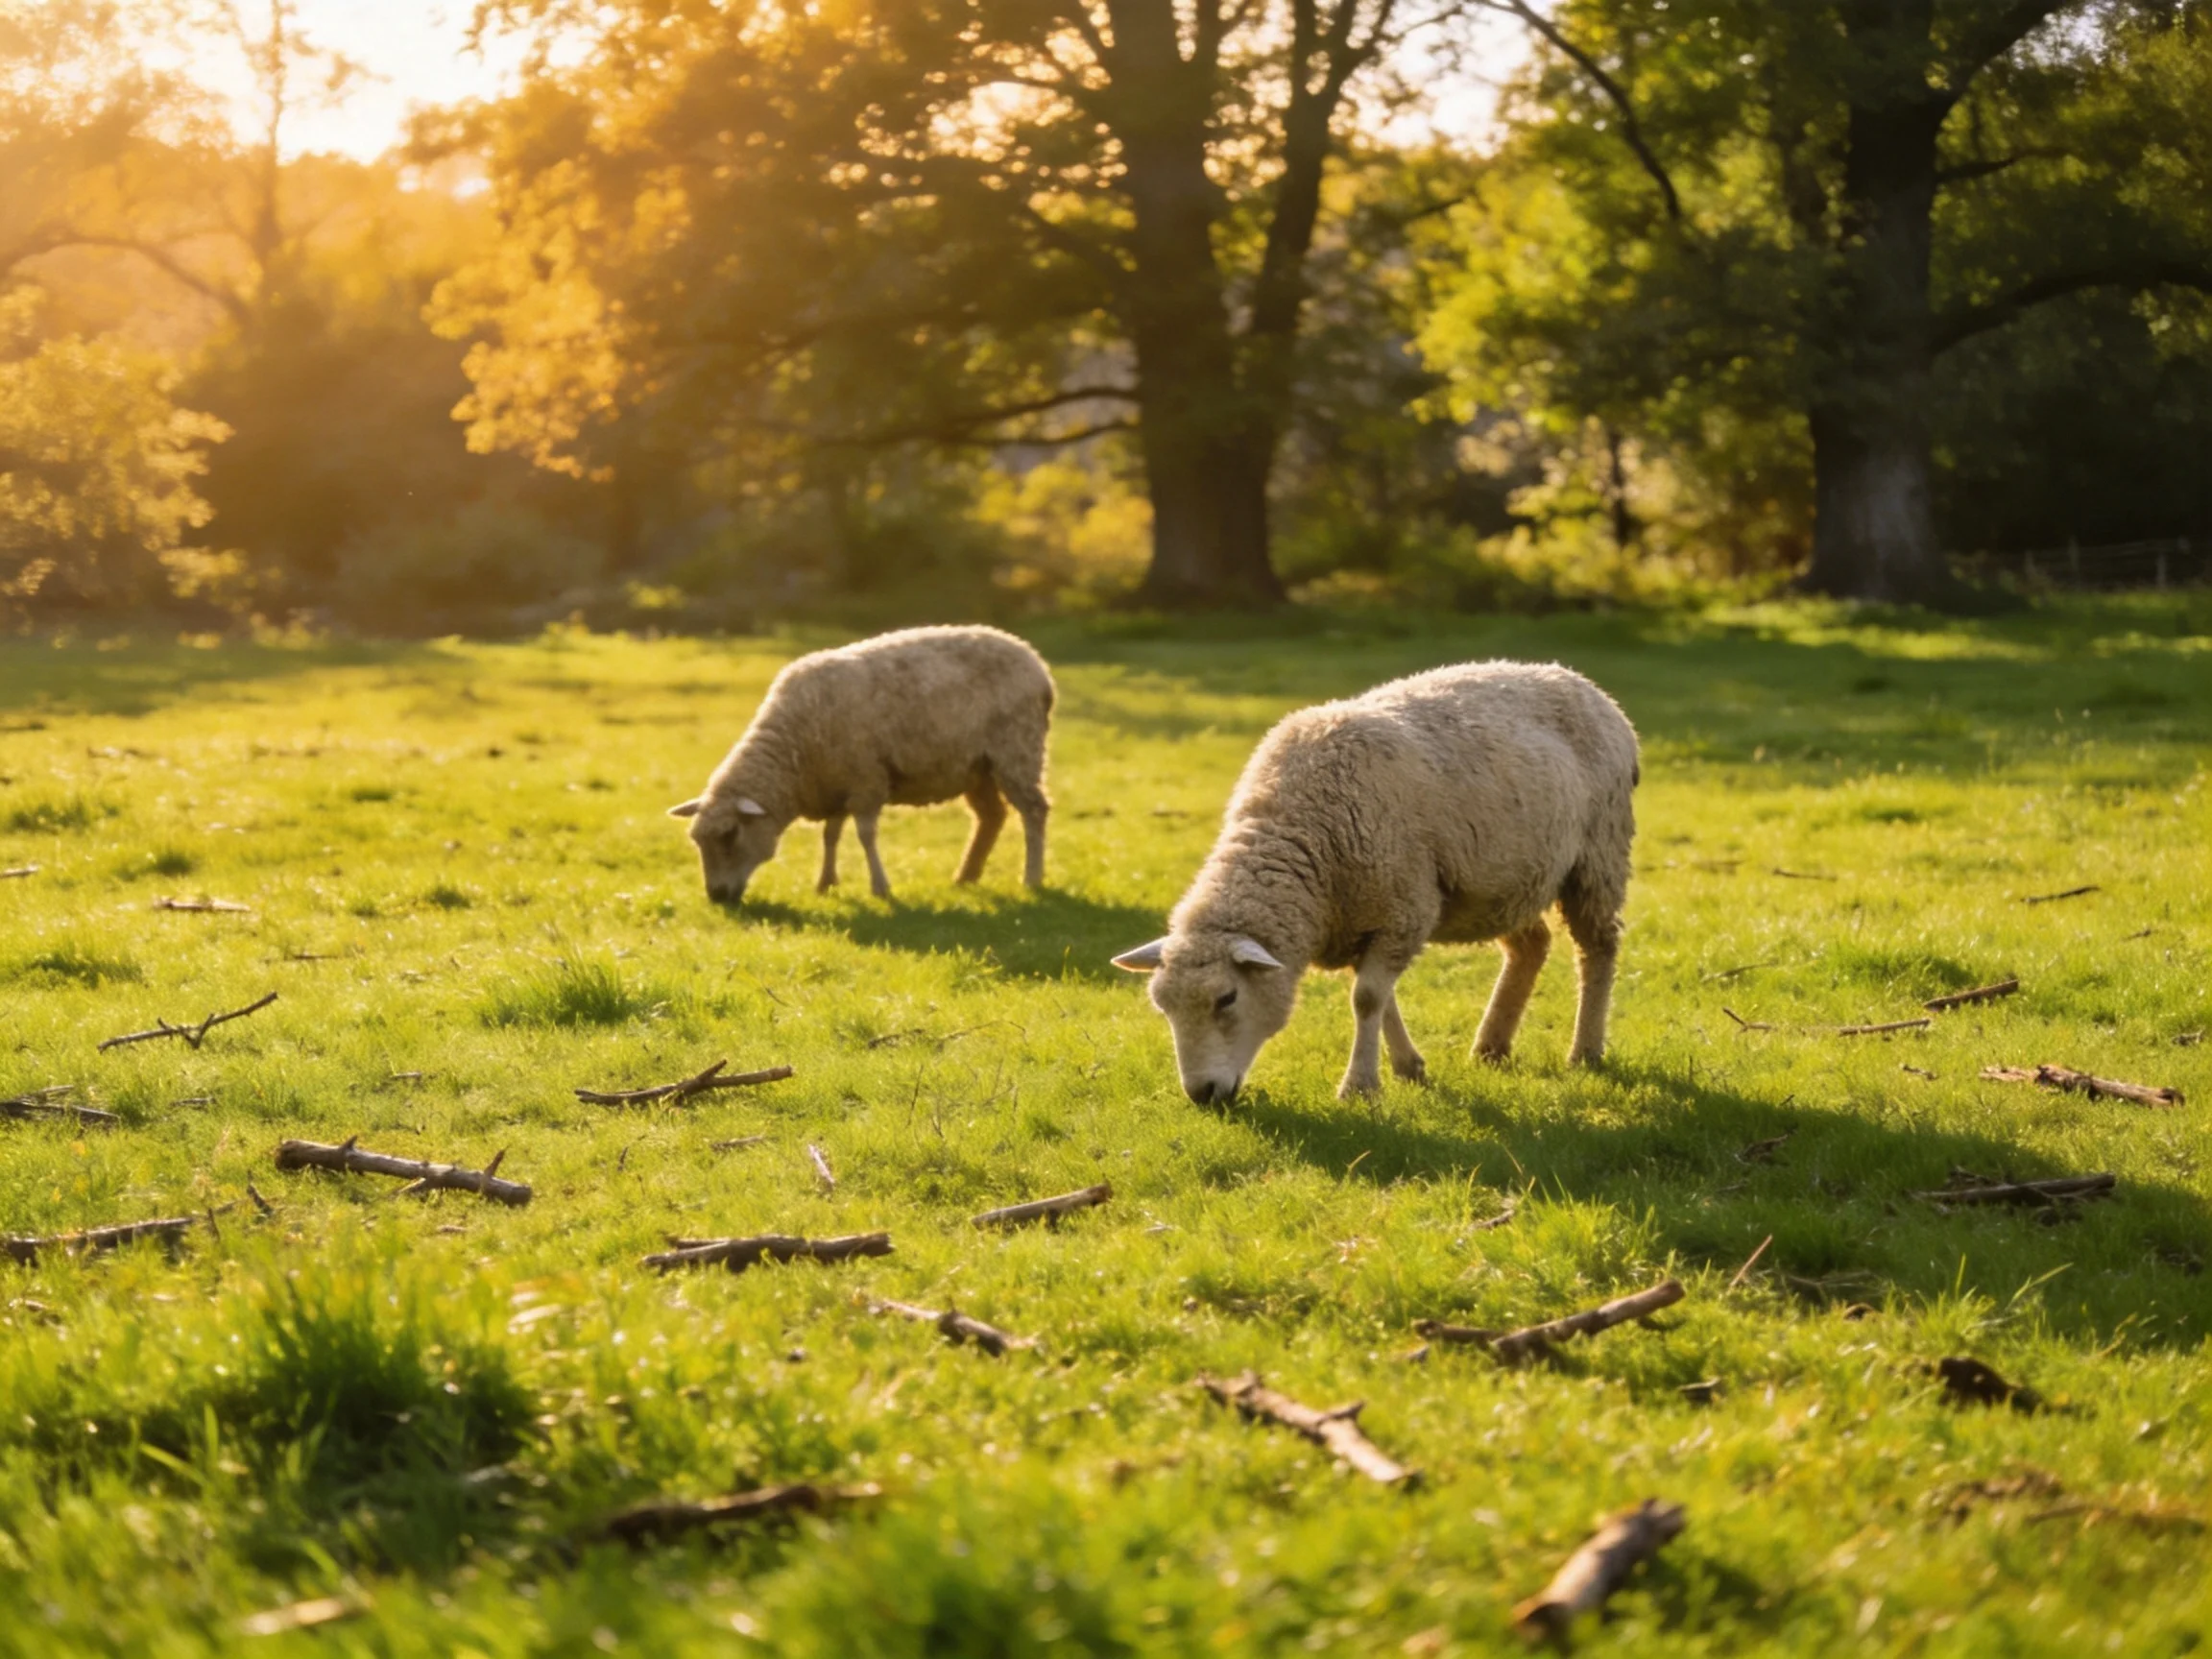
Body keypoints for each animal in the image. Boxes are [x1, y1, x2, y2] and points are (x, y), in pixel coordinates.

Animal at [668, 625, 1054, 903]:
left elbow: (865, 835)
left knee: (1034, 811)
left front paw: (880, 888)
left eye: (730, 835)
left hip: (1017, 750)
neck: (794, 752)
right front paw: (825, 884)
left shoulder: (866, 781)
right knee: (991, 817)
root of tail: (1035, 661)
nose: (716, 897)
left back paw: (1031, 878)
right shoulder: (835, 785)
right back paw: (966, 877)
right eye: (697, 841)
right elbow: (831, 836)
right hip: (977, 768)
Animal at [1112, 660, 1637, 1103]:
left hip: (1599, 854)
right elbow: (1381, 1000)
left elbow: (1366, 999)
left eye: (1227, 998)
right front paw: (1408, 1067)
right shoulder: (1363, 917)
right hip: (1508, 879)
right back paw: (1492, 1045)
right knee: (1531, 945)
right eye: (1163, 1006)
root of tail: (1583, 683)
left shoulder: (1402, 908)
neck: (1302, 837)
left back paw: (1585, 1050)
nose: (1201, 1094)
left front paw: (1360, 1087)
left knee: (1598, 947)